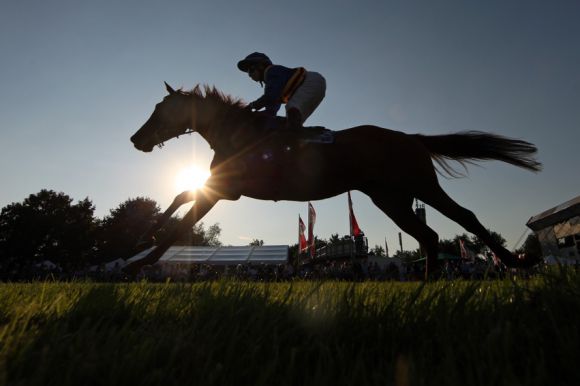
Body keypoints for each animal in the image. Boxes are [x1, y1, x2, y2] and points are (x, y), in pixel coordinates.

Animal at [124, 83, 540, 278]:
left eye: (160, 109)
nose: (136, 139)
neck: (238, 132)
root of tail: (412, 137)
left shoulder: (226, 190)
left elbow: (184, 216)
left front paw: (139, 260)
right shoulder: (220, 188)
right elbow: (179, 197)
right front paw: (142, 238)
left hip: (422, 186)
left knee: (463, 217)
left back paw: (514, 262)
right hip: (391, 199)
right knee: (429, 235)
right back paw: (426, 284)